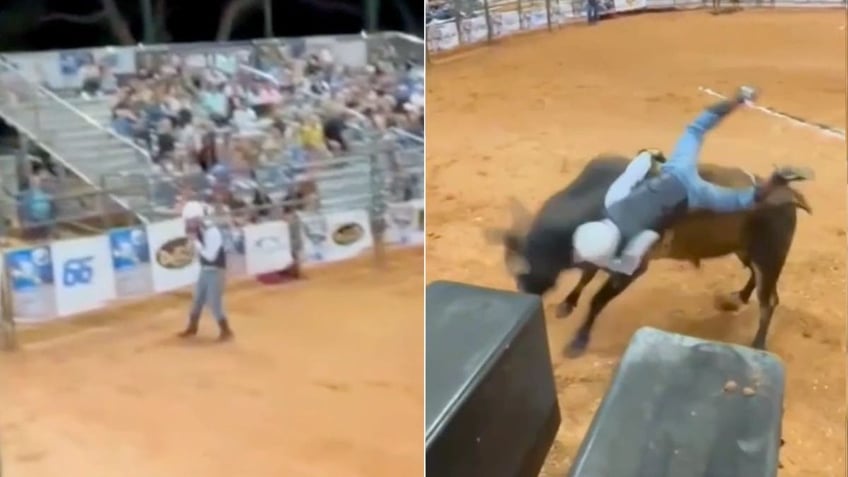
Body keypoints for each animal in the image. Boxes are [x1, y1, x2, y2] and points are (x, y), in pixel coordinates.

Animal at [480, 152, 812, 356]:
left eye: (524, 272)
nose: (525, 295)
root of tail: (789, 194)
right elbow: (586, 276)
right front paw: (567, 303)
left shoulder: (632, 268)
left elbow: (597, 299)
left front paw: (578, 341)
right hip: (748, 252)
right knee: (756, 282)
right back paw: (736, 298)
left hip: (770, 255)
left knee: (769, 301)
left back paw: (757, 343)